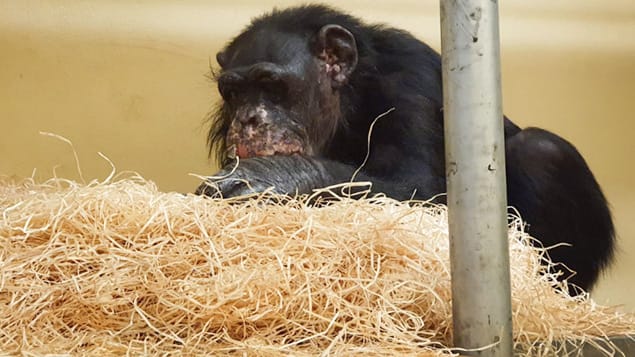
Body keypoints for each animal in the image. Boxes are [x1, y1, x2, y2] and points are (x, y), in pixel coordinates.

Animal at [198, 3, 616, 292]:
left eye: (271, 85)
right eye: (234, 92)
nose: (248, 119)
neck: (347, 98)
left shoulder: (408, 80)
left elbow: (422, 190)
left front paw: (270, 177)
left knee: (543, 150)